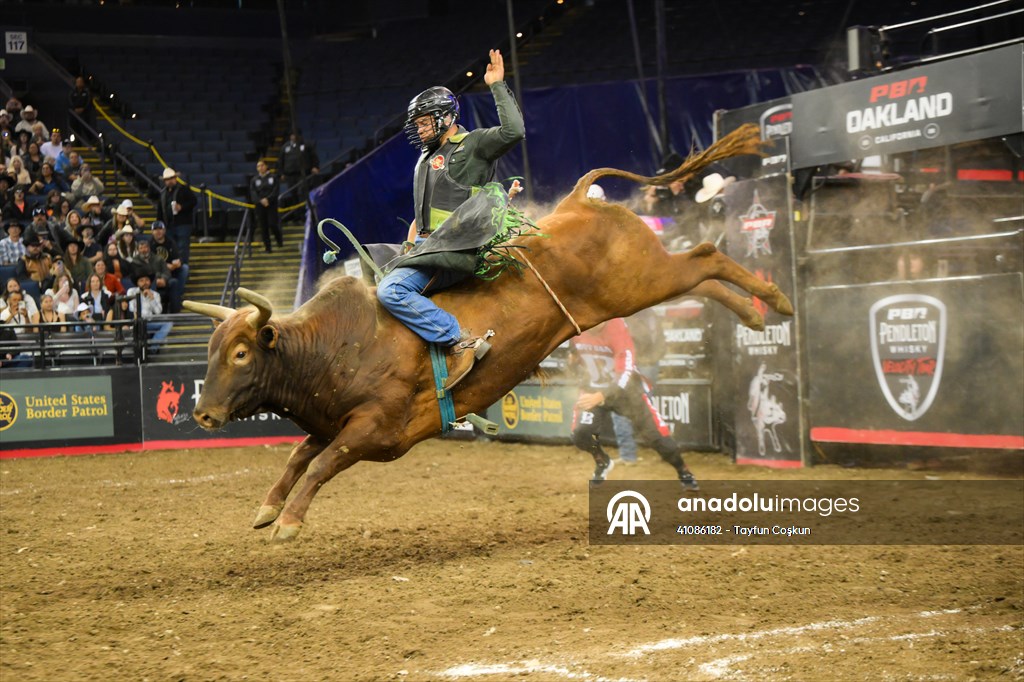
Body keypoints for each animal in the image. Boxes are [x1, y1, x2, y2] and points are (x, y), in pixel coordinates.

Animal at [183, 123, 792, 541]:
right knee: (703, 273)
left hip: (640, 279)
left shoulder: (376, 429)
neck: (335, 346)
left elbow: (322, 463)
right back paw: (757, 314)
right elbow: (298, 457)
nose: (204, 415)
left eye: (241, 354)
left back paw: (775, 300)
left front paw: (288, 522)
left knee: (706, 254)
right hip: (644, 283)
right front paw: (267, 508)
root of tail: (579, 199)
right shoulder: (331, 420)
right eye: (213, 350)